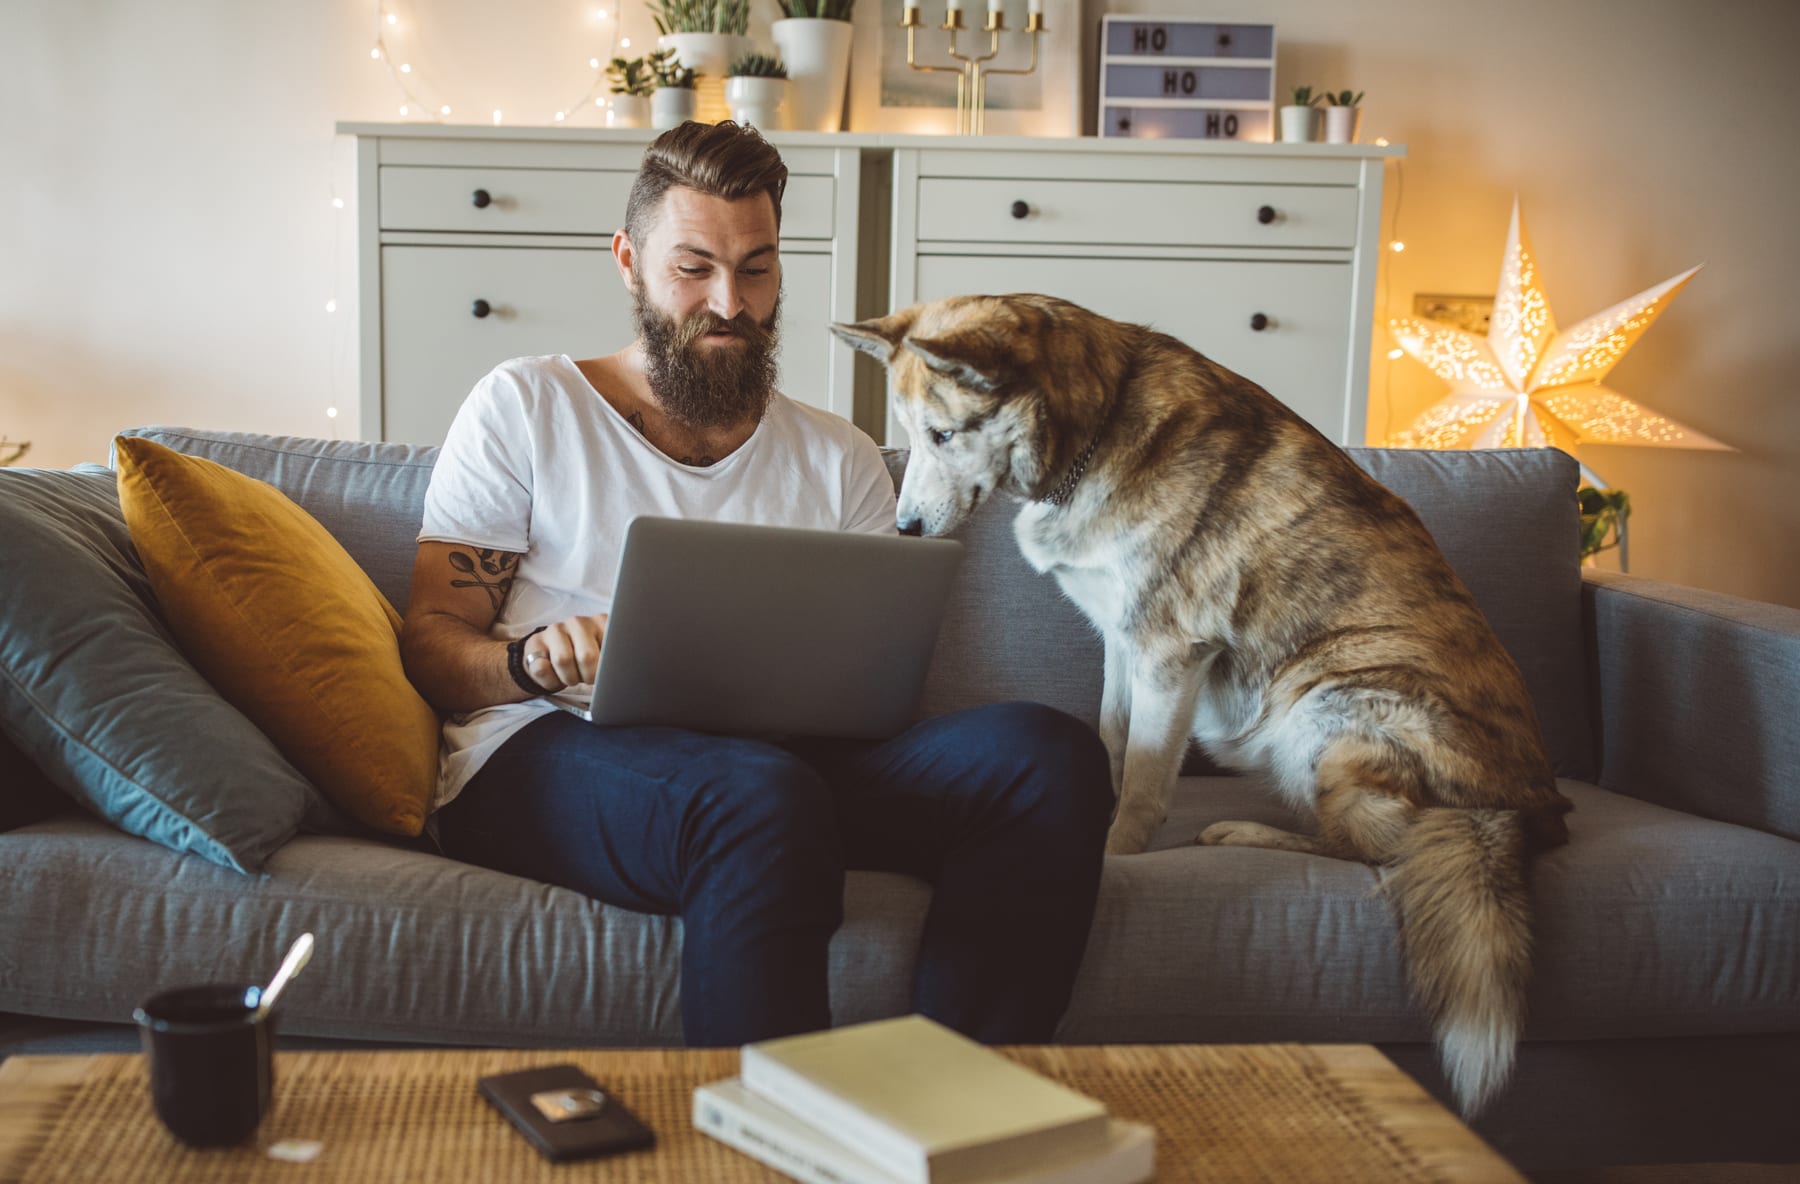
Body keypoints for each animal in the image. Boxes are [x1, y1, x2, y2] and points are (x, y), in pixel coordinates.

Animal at [831, 296, 1576, 1115]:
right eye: (908, 436)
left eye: (942, 435)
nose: (903, 530)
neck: (1097, 428)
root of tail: (1519, 810)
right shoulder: (1120, 641)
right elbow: (1112, 742)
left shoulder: (1168, 652)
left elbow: (1145, 783)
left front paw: (1113, 853)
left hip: (1323, 704)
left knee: (1378, 852)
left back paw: (1242, 831)